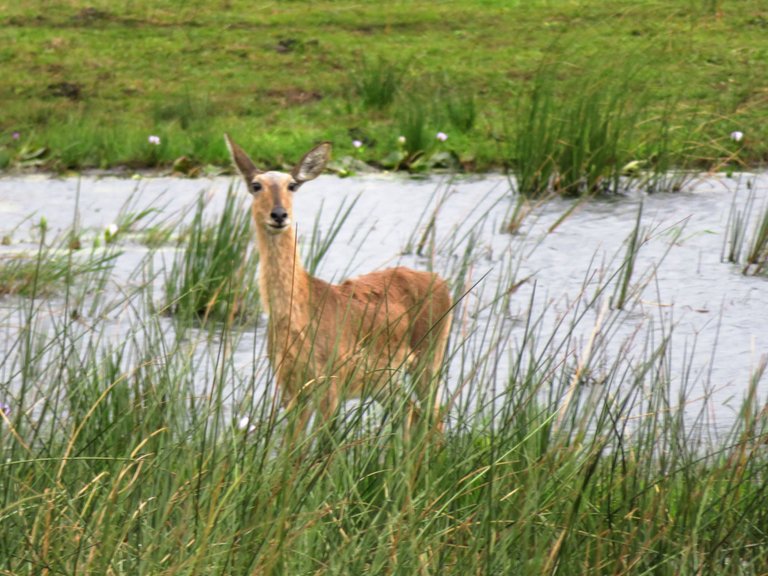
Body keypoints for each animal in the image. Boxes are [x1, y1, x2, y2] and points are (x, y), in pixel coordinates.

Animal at [225, 135, 452, 432]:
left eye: (292, 185)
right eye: (255, 185)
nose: (279, 214)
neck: (299, 315)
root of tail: (443, 284)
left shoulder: (330, 382)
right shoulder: (291, 387)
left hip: (429, 357)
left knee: (433, 416)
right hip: (384, 380)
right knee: (412, 414)